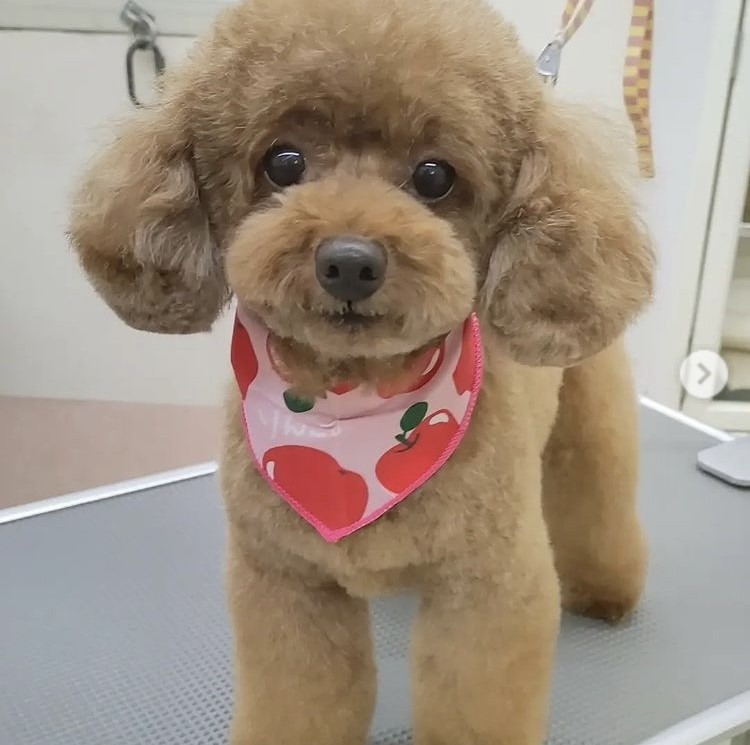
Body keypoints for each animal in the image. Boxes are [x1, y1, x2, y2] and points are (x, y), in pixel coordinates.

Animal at [69, 0, 654, 742]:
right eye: (283, 162)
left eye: (435, 176)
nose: (349, 262)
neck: (356, 399)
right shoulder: (288, 583)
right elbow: (300, 699)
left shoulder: (487, 589)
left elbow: (474, 701)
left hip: (592, 415)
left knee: (599, 495)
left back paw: (609, 589)